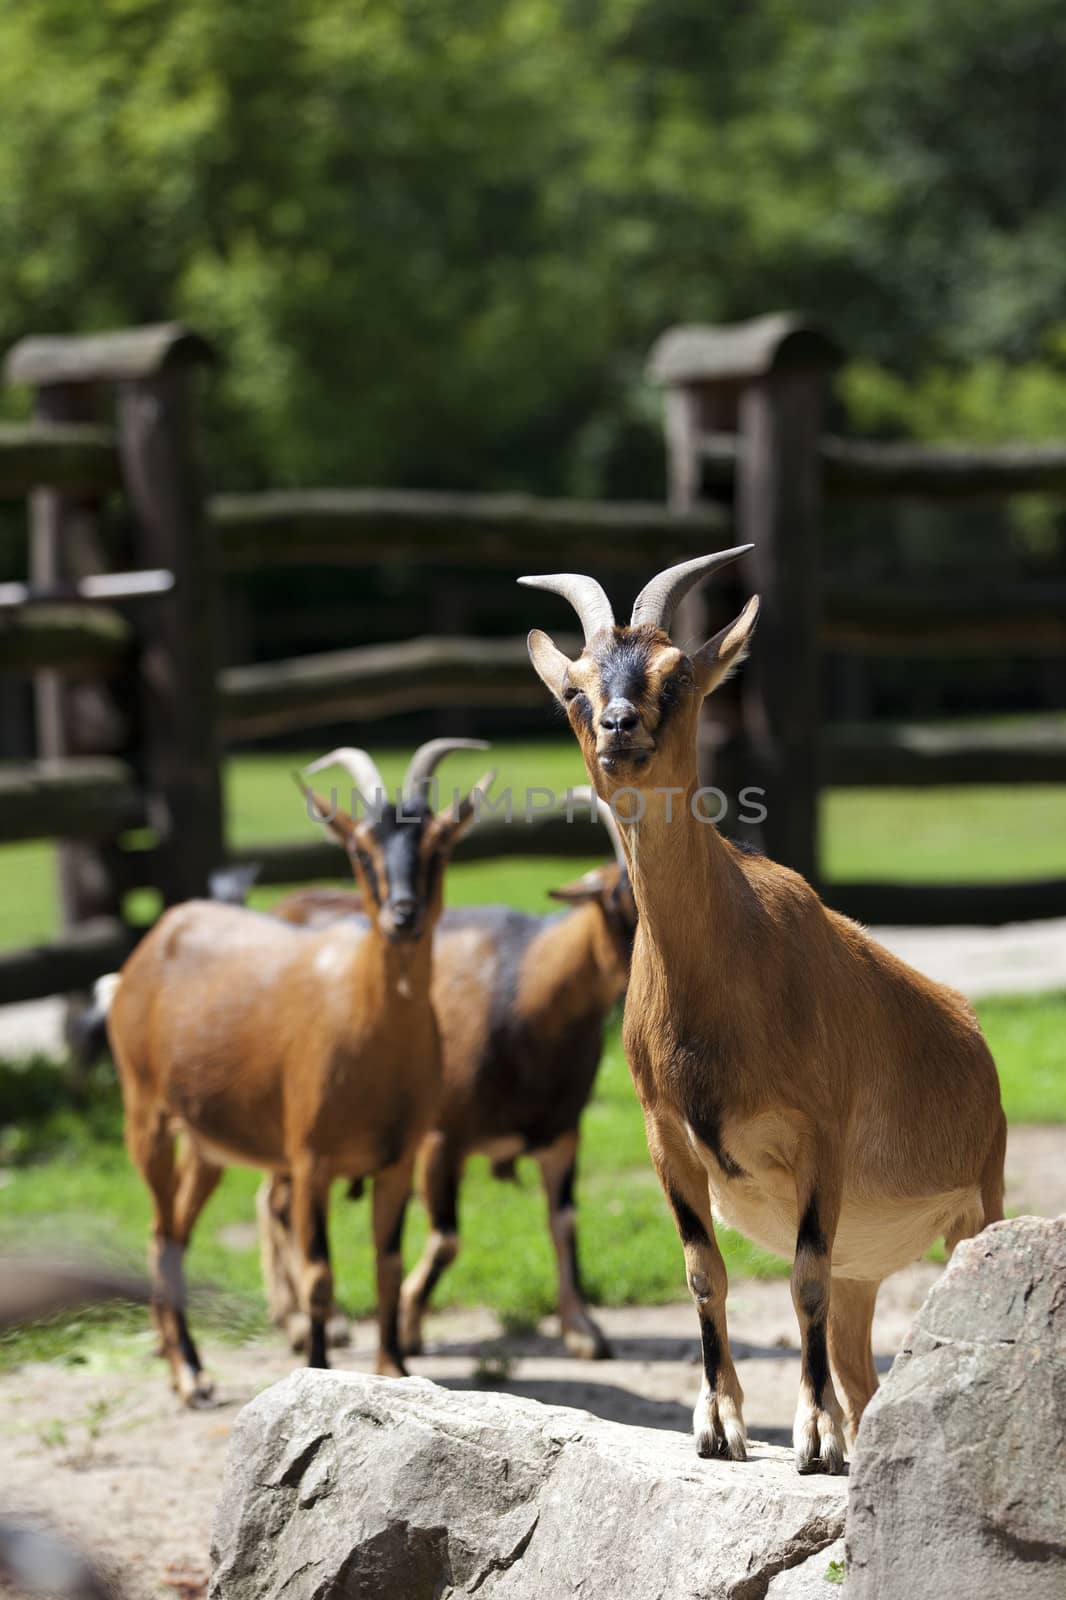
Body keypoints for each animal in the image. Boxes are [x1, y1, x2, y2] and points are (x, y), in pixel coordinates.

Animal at [108, 736, 489, 1401]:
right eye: (361, 849)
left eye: (439, 843)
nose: (403, 914)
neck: (371, 1031)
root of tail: (157, 938)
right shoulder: (311, 1162)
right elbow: (318, 1275)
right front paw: (317, 1365)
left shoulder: (397, 1162)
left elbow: (387, 1264)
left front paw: (394, 1368)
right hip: (146, 1118)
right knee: (159, 1234)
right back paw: (189, 1374)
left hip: (207, 1147)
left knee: (176, 1233)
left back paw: (177, 1357)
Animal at [262, 787, 633, 1363]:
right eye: (620, 901)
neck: (521, 991)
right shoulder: (442, 1137)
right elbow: (446, 1240)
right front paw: (411, 1323)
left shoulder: (562, 1132)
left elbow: (564, 1222)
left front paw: (582, 1329)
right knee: (279, 1204)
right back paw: (308, 1323)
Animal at [518, 553, 998, 1472]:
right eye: (573, 688)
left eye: (677, 673)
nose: (619, 726)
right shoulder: (668, 1137)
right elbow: (704, 1272)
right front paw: (720, 1426)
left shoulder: (820, 1138)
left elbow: (800, 1277)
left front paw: (815, 1440)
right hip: (863, 1272)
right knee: (862, 1369)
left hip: (977, 1204)